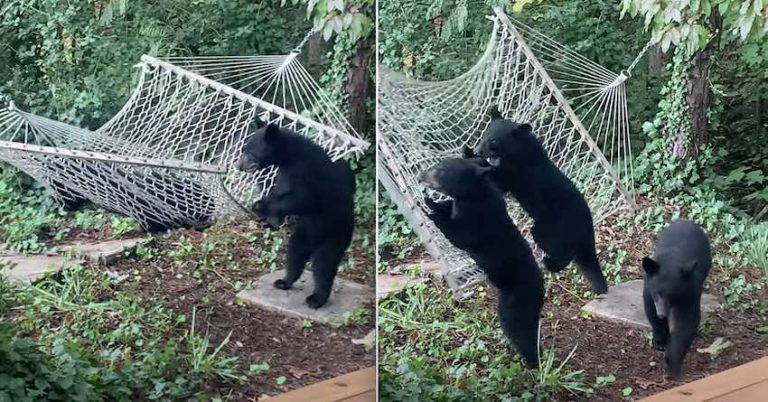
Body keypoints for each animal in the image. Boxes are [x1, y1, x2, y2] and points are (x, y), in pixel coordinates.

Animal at [237, 120, 355, 309]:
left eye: (249, 152)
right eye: (244, 149)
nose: (239, 166)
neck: (289, 155)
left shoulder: (303, 171)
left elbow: (302, 199)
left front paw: (261, 206)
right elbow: (279, 191)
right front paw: (269, 217)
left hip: (333, 235)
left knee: (324, 265)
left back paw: (316, 298)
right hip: (304, 233)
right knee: (295, 253)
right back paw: (285, 281)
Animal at [420, 157, 544, 368]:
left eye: (441, 170)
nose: (421, 175)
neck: (474, 194)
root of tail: (540, 292)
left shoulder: (478, 220)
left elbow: (461, 235)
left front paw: (430, 210)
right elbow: (447, 207)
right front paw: (433, 203)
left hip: (514, 306)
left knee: (518, 331)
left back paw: (532, 361)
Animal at [467, 111, 608, 294]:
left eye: (494, 141)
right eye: (484, 134)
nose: (477, 149)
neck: (519, 149)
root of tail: (587, 226)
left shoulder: (517, 170)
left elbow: (499, 181)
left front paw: (468, 154)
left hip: (554, 228)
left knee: (558, 248)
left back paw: (550, 263)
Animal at [642, 219, 712, 379]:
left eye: (673, 295)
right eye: (657, 293)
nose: (662, 314)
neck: (672, 261)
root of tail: (687, 221)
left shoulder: (690, 291)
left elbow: (686, 321)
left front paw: (673, 358)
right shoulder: (648, 289)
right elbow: (650, 310)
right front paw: (660, 341)